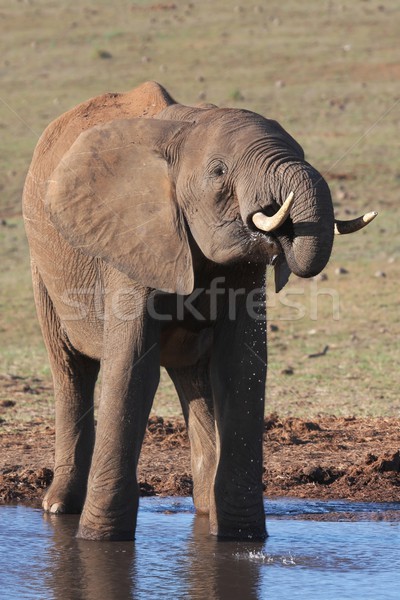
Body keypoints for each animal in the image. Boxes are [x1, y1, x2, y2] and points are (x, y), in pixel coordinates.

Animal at [23, 77, 376, 540]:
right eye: (219, 171)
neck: (183, 131)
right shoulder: (130, 240)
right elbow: (133, 367)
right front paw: (100, 541)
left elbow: (240, 367)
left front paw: (242, 538)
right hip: (43, 266)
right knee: (70, 369)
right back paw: (58, 508)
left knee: (196, 378)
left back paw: (207, 510)